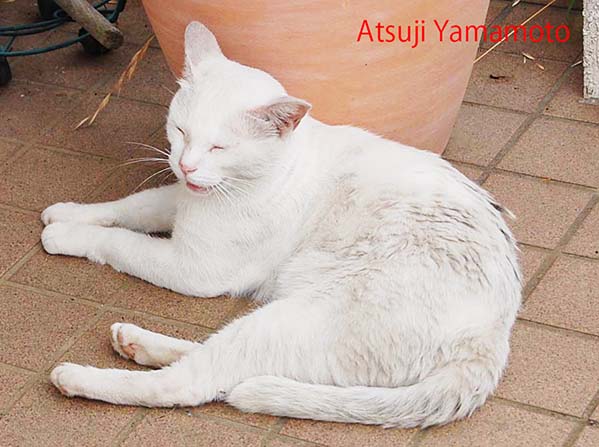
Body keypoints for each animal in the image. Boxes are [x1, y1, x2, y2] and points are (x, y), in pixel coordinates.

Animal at [42, 22, 520, 428]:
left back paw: (80, 377)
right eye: (179, 131)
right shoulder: (178, 198)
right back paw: (136, 342)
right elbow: (130, 208)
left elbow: (119, 242)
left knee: (193, 383)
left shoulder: (193, 268)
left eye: (219, 147)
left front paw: (64, 234)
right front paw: (66, 212)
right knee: (221, 366)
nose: (186, 164)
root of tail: (491, 339)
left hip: (290, 320)